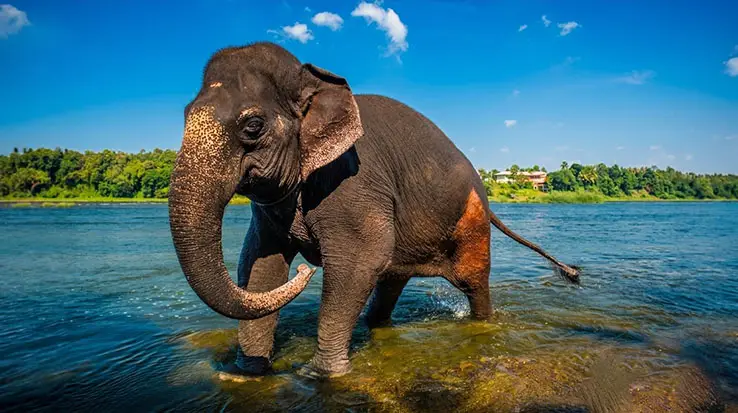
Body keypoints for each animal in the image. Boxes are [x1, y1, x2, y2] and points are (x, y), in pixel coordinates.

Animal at [168, 42, 580, 378]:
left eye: (253, 125)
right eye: (184, 114)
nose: (305, 270)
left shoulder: (354, 181)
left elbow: (359, 258)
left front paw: (320, 375)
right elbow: (260, 264)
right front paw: (247, 373)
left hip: (471, 221)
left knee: (470, 281)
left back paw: (482, 323)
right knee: (389, 280)